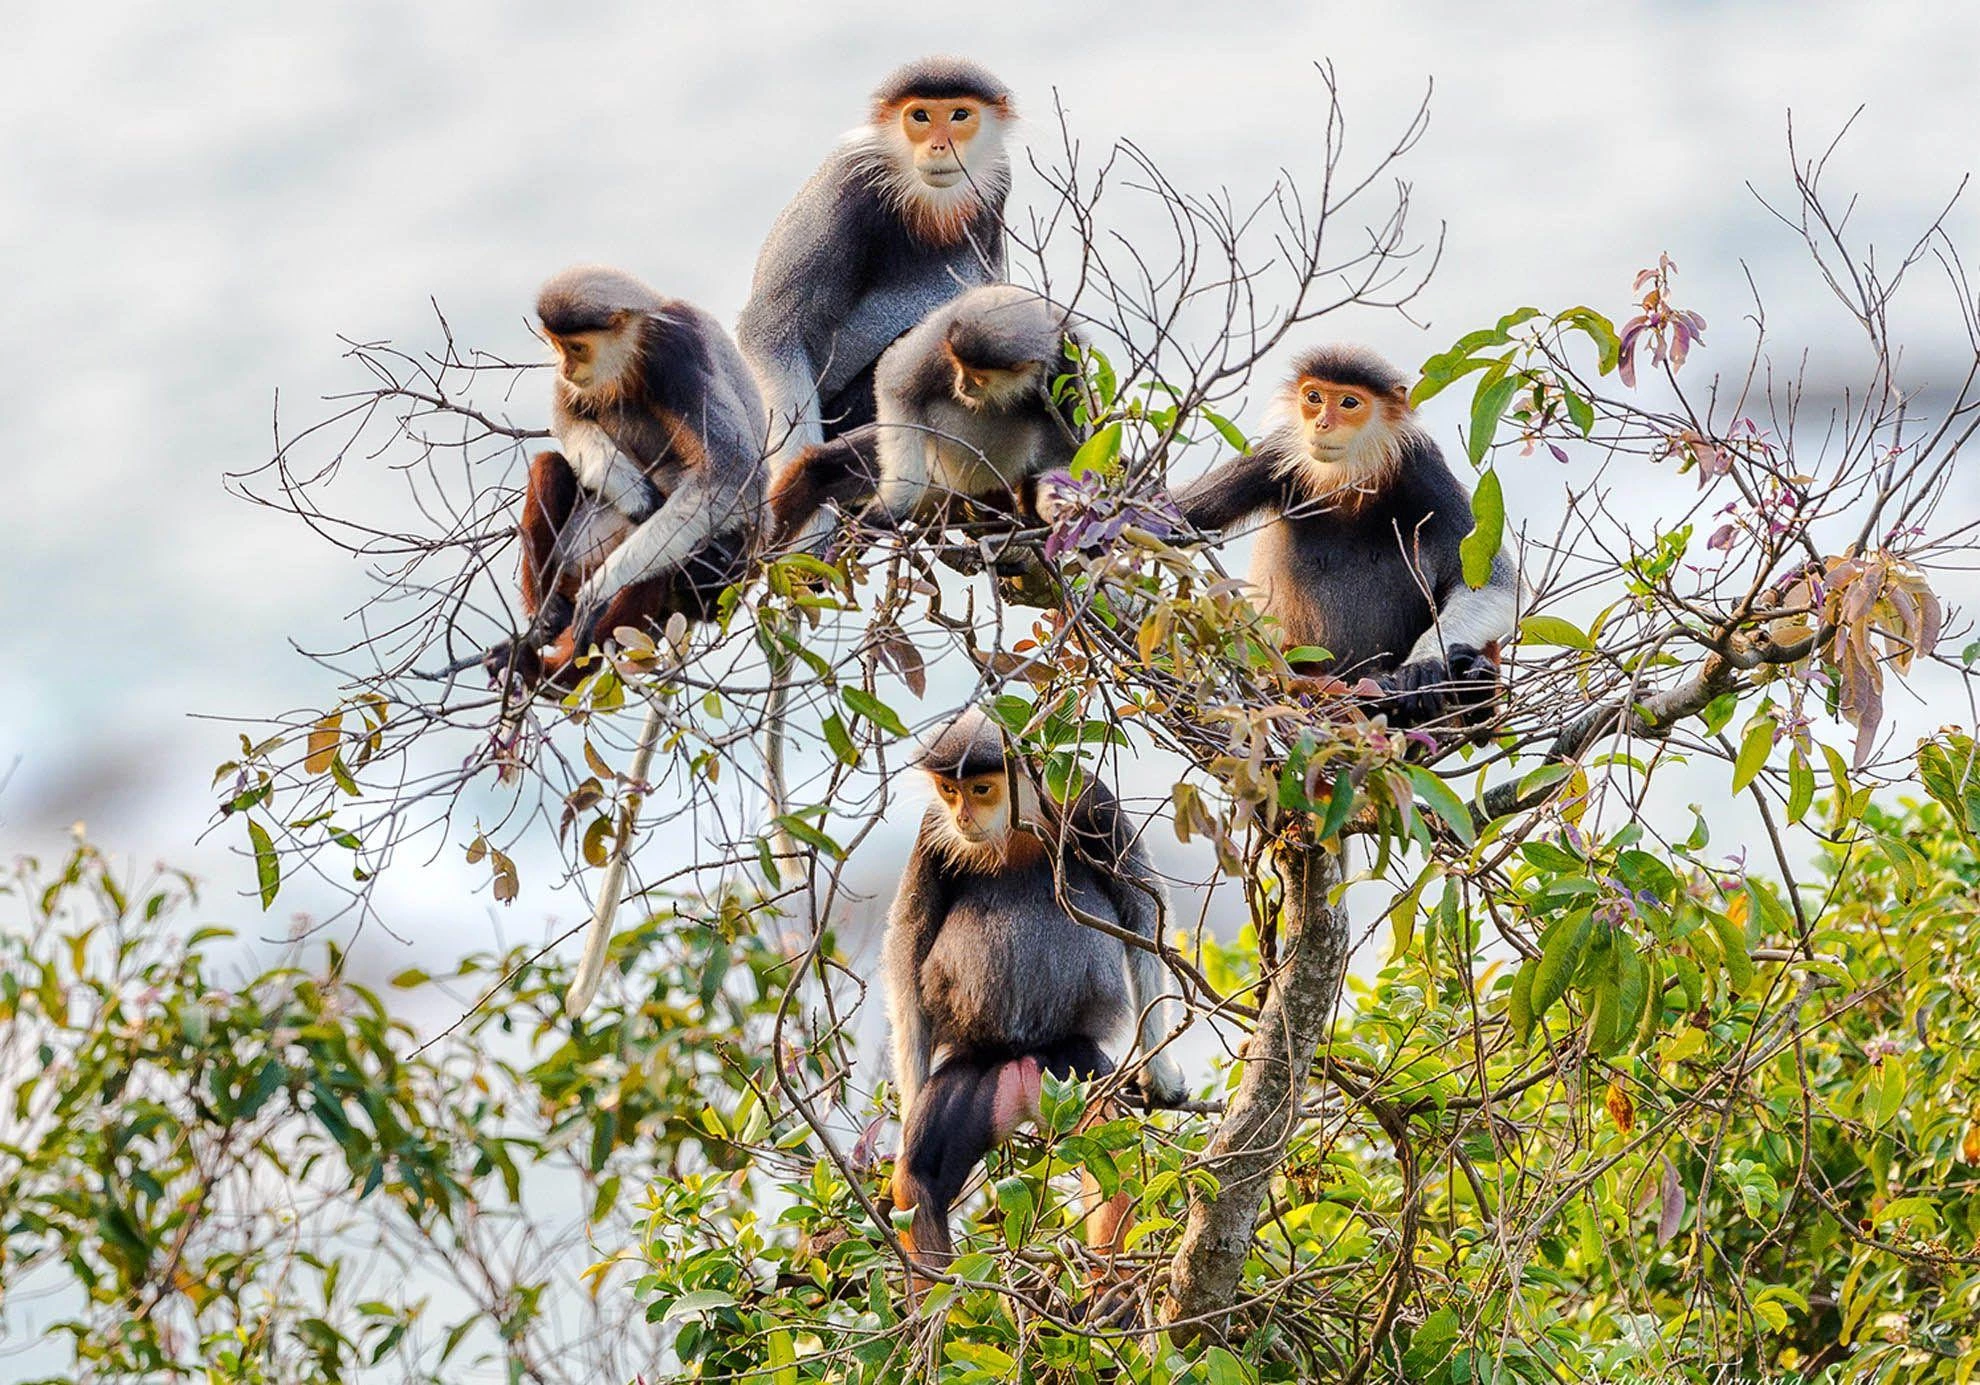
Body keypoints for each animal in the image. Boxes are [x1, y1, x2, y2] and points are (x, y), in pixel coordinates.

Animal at [879, 709, 1172, 1283]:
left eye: (981, 789)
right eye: (949, 791)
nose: (962, 817)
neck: (1014, 827)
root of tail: (1021, 1063)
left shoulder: (1092, 800)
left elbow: (1140, 911)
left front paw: (1161, 1076)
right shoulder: (930, 833)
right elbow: (909, 940)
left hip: (1073, 1069)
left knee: (1108, 1152)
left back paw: (1109, 1290)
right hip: (976, 1074)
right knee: (919, 1177)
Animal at [1164, 344, 1520, 725]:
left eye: (1349, 403)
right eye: (1314, 397)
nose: (1321, 423)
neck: (1348, 478)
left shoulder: (1424, 464)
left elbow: (1495, 584)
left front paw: (1423, 666)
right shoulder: (1273, 453)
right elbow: (1164, 515)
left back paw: (1472, 683)